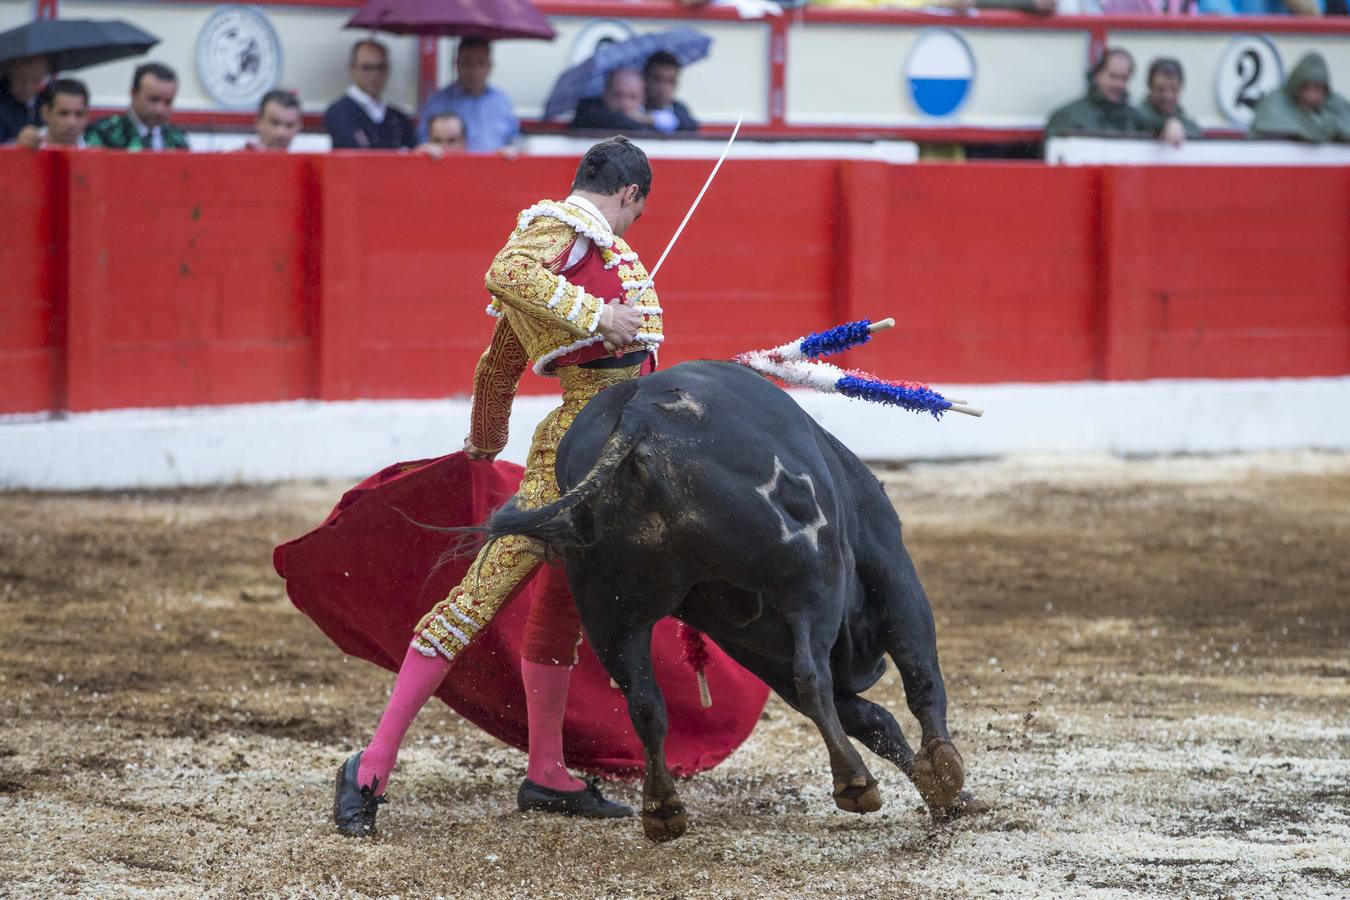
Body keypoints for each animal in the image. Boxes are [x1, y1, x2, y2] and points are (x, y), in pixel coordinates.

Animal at [486, 361, 982, 847]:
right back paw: (853, 782)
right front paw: (946, 773)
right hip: (809, 577)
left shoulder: (757, 647)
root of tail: (637, 420)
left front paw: (944, 794)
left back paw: (662, 809)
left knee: (645, 702)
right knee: (813, 677)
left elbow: (872, 717)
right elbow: (918, 674)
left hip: (609, 612)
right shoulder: (892, 571)